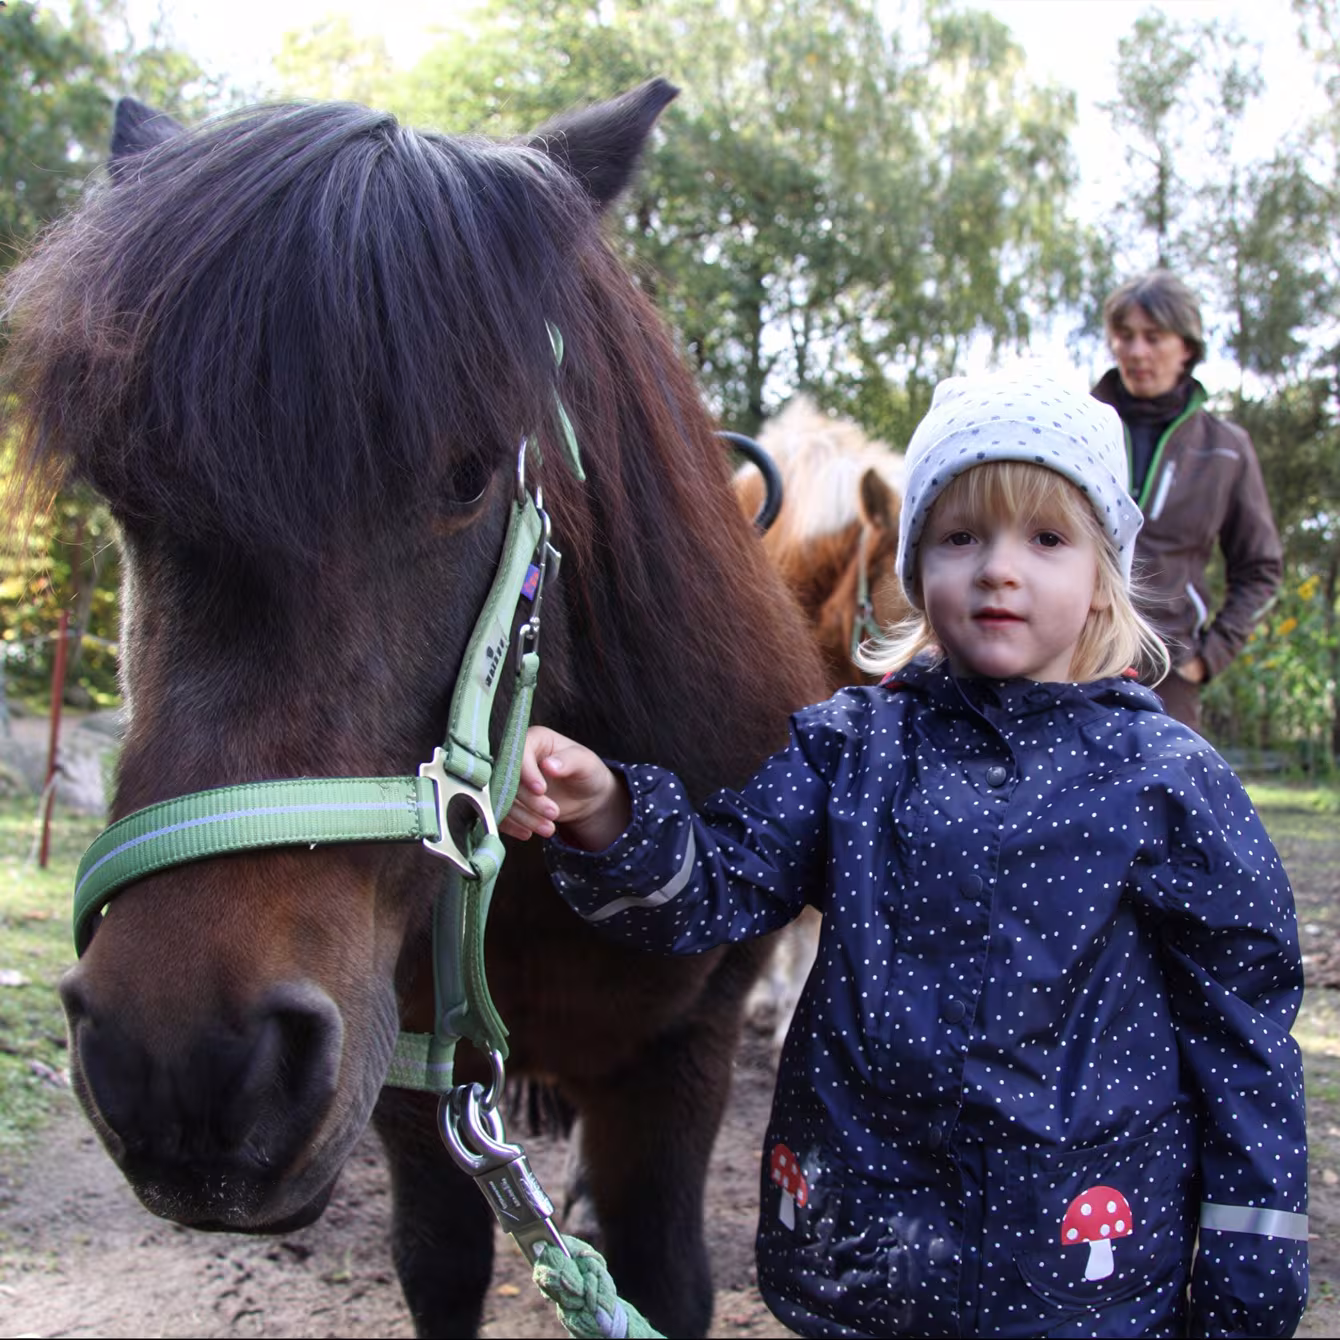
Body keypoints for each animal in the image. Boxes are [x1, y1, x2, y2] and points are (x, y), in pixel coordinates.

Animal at [0, 82, 829, 1338]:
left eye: (470, 473)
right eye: (119, 491)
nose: (183, 1062)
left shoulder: (683, 1048)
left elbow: (662, 1273)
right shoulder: (398, 1059)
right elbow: (439, 1259)